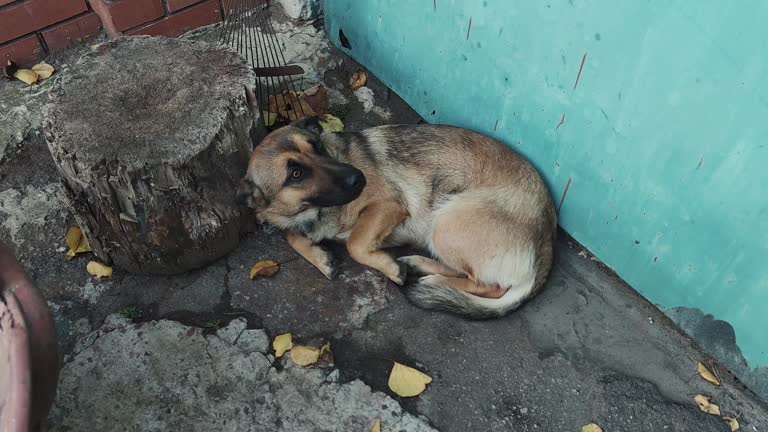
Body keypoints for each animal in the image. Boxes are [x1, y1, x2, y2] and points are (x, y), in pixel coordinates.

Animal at [237, 116, 556, 318]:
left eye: (317, 147)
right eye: (295, 174)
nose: (358, 178)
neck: (316, 212)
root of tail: (547, 240)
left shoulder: (388, 206)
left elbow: (355, 243)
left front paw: (388, 268)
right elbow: (293, 236)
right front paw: (320, 257)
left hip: (446, 220)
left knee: (488, 285)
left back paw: (433, 282)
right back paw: (419, 265)